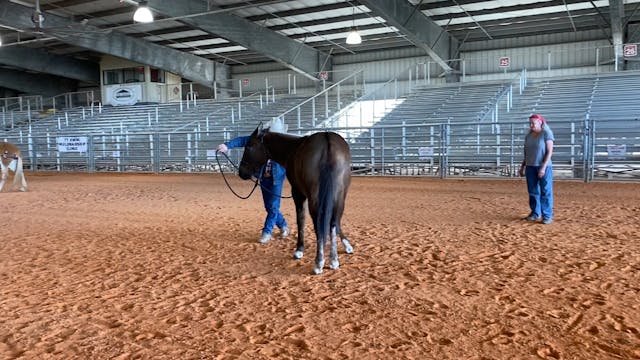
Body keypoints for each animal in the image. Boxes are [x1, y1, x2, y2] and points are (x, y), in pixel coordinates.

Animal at [238, 124, 352, 276]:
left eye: (249, 146)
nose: (241, 172)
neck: (292, 149)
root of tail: (327, 139)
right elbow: (333, 223)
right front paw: (346, 245)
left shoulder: (298, 193)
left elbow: (301, 220)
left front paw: (299, 250)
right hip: (340, 196)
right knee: (333, 222)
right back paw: (333, 260)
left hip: (315, 198)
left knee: (319, 225)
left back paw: (319, 262)